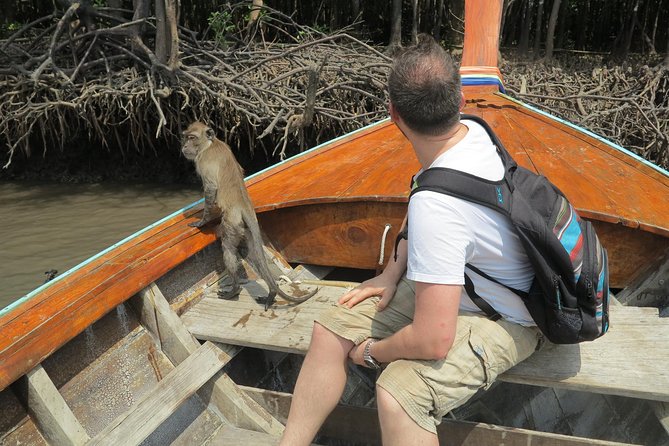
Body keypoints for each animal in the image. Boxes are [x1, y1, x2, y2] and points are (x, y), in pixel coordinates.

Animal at [181, 121, 318, 309]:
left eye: (192, 138)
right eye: (186, 137)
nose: (184, 146)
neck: (210, 144)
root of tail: (244, 206)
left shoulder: (203, 162)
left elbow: (211, 189)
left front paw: (202, 221)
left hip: (232, 223)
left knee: (229, 249)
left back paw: (234, 290)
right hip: (244, 227)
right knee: (253, 255)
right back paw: (271, 292)